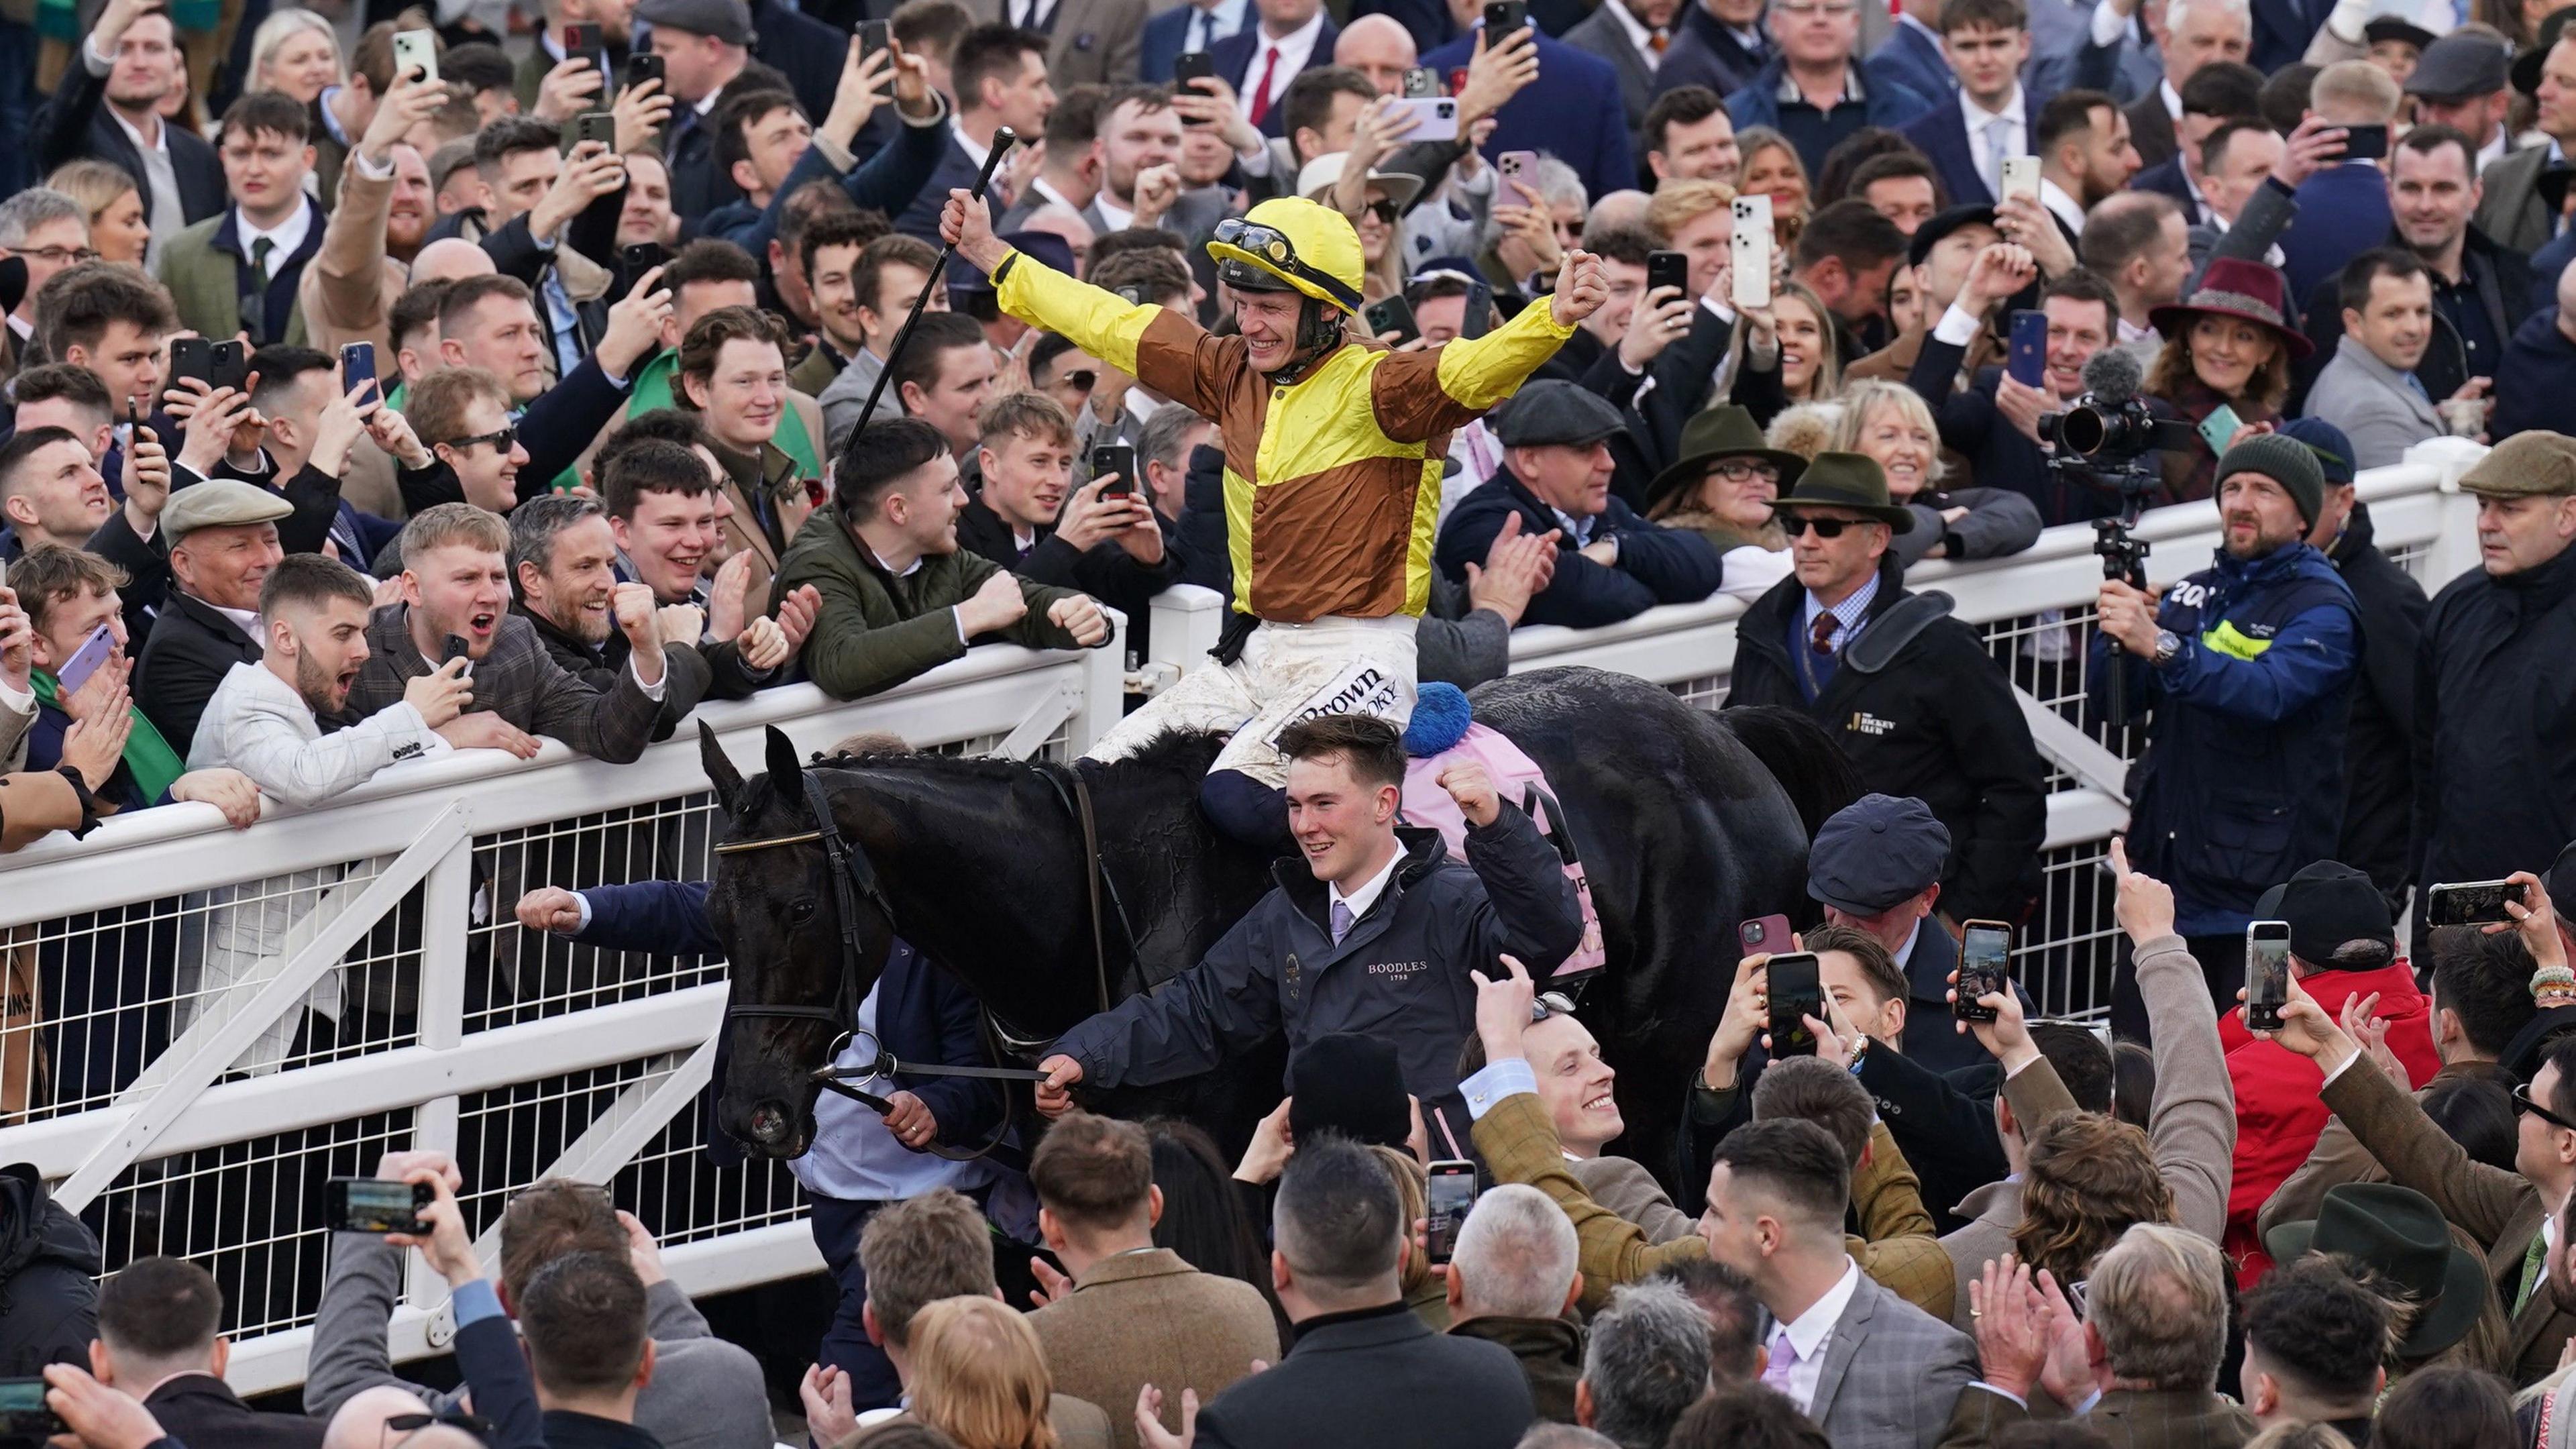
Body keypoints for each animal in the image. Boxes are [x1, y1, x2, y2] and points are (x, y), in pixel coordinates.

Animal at [700, 665, 1854, 1185]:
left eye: (797, 907)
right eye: (717, 919)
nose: (748, 1115)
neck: (1106, 905)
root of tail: (1722, 734)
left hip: (1659, 1066)